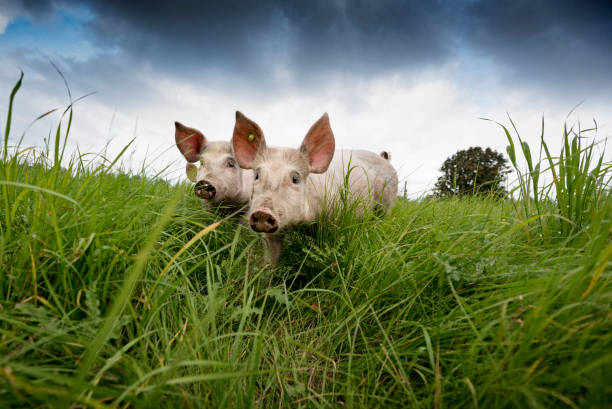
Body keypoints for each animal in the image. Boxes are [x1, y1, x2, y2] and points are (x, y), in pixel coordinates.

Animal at [232, 111, 400, 264]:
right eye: (257, 176)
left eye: (295, 179)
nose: (262, 212)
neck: (301, 224)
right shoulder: (271, 234)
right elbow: (271, 257)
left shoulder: (335, 220)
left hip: (385, 205)